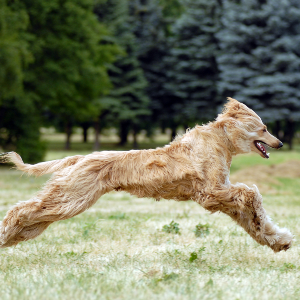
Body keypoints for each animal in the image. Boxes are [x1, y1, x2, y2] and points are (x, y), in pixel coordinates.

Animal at [0, 98, 292, 251]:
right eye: (264, 128)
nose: (280, 143)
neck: (220, 141)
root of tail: (80, 158)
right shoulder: (211, 192)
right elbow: (250, 194)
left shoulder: (220, 195)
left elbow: (249, 216)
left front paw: (277, 240)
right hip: (71, 196)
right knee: (21, 210)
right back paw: (5, 233)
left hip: (68, 200)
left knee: (31, 218)